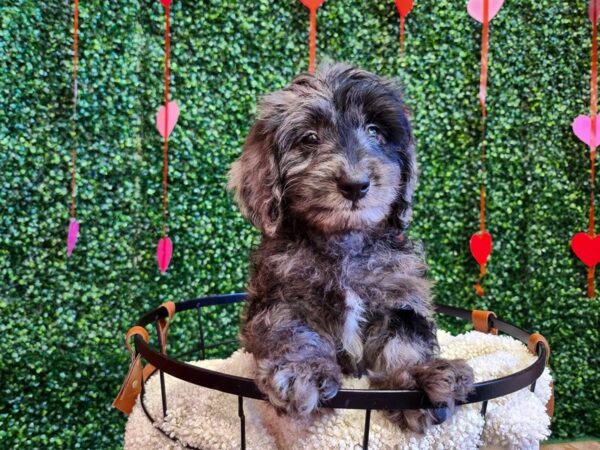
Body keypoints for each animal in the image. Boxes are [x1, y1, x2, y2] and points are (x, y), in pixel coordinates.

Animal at [226, 63, 474, 432]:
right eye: (309, 138)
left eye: (375, 131)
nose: (355, 185)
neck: (344, 242)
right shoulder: (280, 296)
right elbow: (292, 331)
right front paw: (303, 372)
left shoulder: (398, 296)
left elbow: (404, 340)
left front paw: (419, 376)